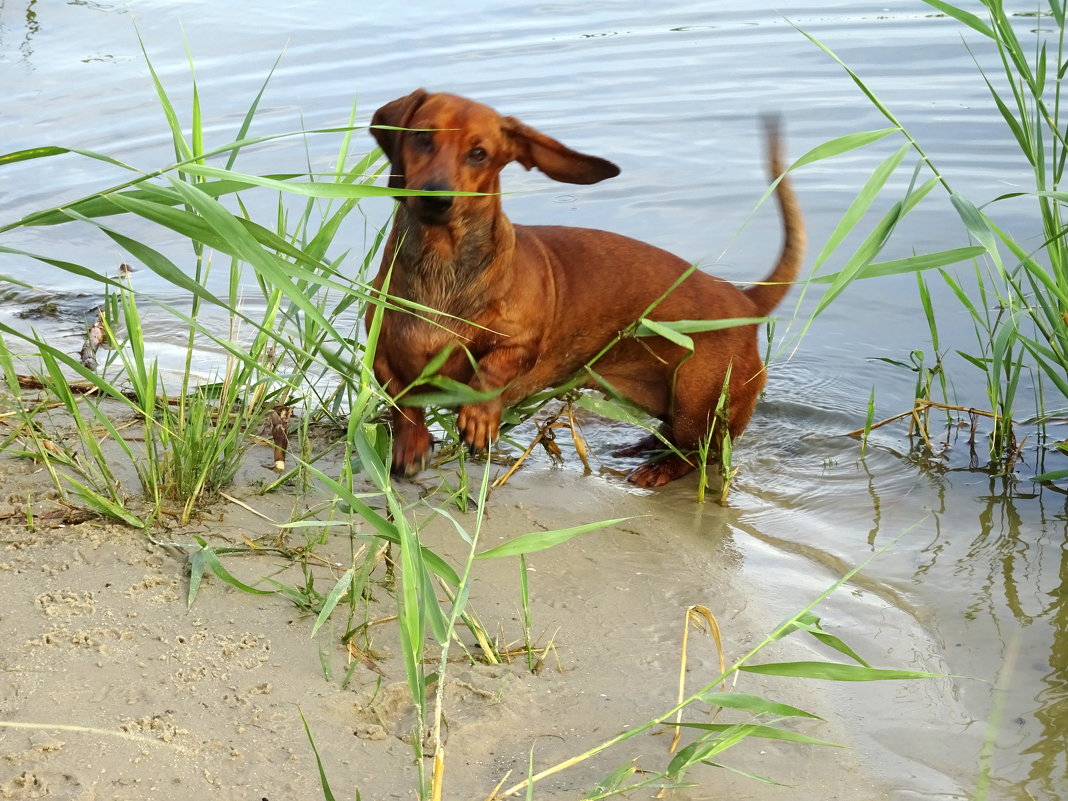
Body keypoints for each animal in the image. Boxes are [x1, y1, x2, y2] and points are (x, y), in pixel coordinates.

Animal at [367, 89, 803, 489]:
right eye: (422, 137)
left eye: (479, 153)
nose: (436, 197)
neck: (441, 263)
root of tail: (743, 298)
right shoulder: (383, 356)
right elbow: (403, 403)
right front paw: (411, 445)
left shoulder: (522, 345)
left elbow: (490, 372)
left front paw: (478, 416)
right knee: (676, 439)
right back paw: (644, 446)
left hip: (699, 406)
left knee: (701, 454)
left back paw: (658, 468)